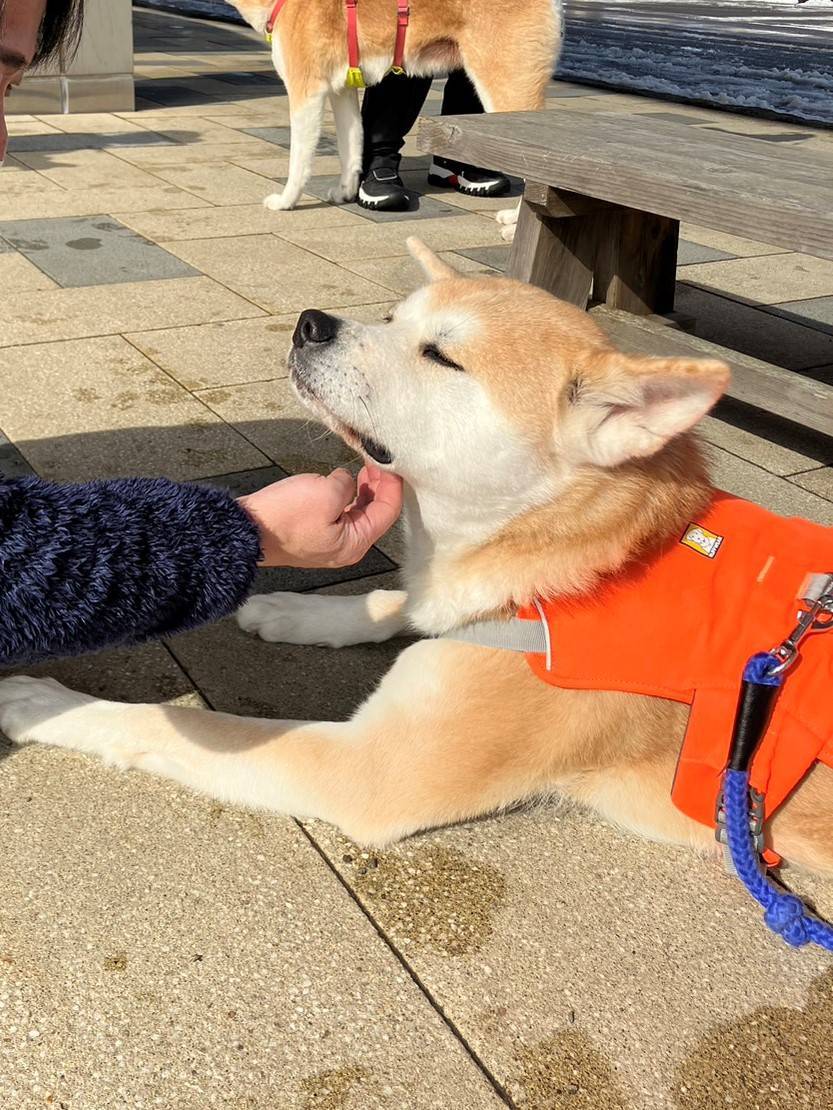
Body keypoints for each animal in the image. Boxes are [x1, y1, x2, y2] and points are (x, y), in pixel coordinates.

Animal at [1, 240, 833, 874]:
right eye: (392, 318)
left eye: (441, 356)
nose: (309, 322)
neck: (575, 555)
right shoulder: (449, 595)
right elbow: (391, 599)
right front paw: (292, 609)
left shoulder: (368, 770)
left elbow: (154, 722)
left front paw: (42, 701)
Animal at [225, 0, 564, 230]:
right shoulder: (342, 90)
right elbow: (351, 148)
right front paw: (345, 192)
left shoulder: (306, 92)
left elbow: (299, 161)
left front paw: (286, 201)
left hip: (505, 87)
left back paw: (517, 222)